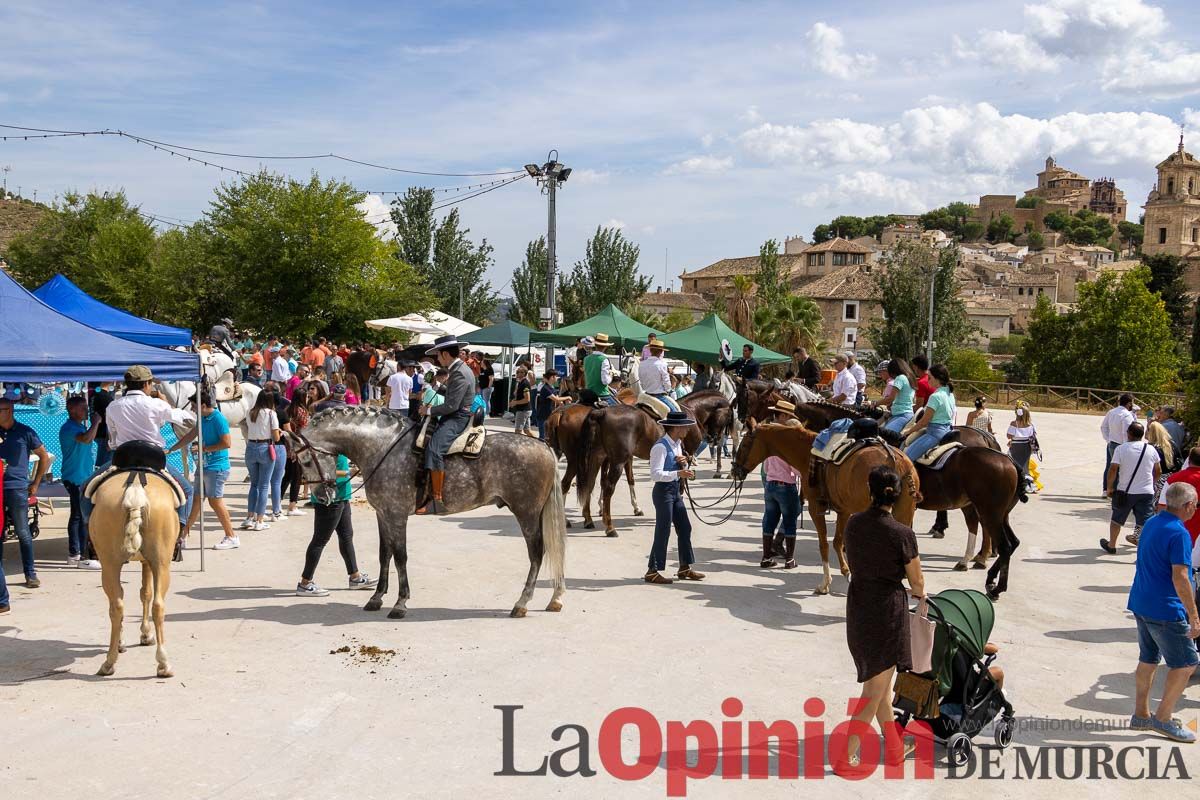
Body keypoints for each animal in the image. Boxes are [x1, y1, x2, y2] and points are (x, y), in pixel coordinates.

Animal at [90, 465, 180, 681]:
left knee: (117, 606)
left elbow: (142, 593)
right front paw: (146, 634)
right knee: (157, 606)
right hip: (161, 564)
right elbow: (146, 594)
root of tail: (135, 492)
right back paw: (163, 663)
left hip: (110, 565)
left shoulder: (144, 562)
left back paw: (110, 661)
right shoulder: (149, 562)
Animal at [294, 407, 566, 618]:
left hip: (527, 513)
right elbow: (385, 555)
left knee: (537, 553)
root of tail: (544, 446)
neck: (383, 448)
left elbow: (400, 557)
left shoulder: (396, 515)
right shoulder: (383, 514)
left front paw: (400, 603)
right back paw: (555, 598)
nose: (323, 497)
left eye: (306, 461)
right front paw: (376, 598)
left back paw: (522, 603)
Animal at [729, 424, 916, 594]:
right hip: (903, 513)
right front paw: (846, 572)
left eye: (744, 444)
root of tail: (894, 460)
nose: (734, 470)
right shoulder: (843, 510)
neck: (809, 453)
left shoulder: (816, 508)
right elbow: (838, 542)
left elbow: (824, 544)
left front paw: (825, 583)